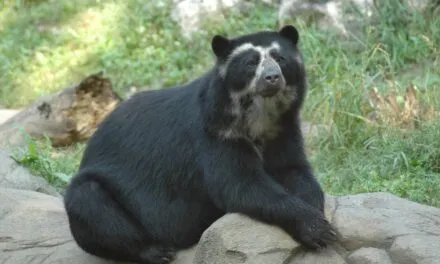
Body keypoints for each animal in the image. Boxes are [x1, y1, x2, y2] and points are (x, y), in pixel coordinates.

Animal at [62, 24, 336, 264]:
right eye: (251, 63)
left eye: (280, 58)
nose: (272, 78)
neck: (259, 115)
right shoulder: (216, 134)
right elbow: (240, 184)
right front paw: (317, 229)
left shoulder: (283, 128)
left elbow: (294, 169)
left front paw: (315, 208)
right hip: (97, 198)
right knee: (91, 203)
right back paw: (157, 251)